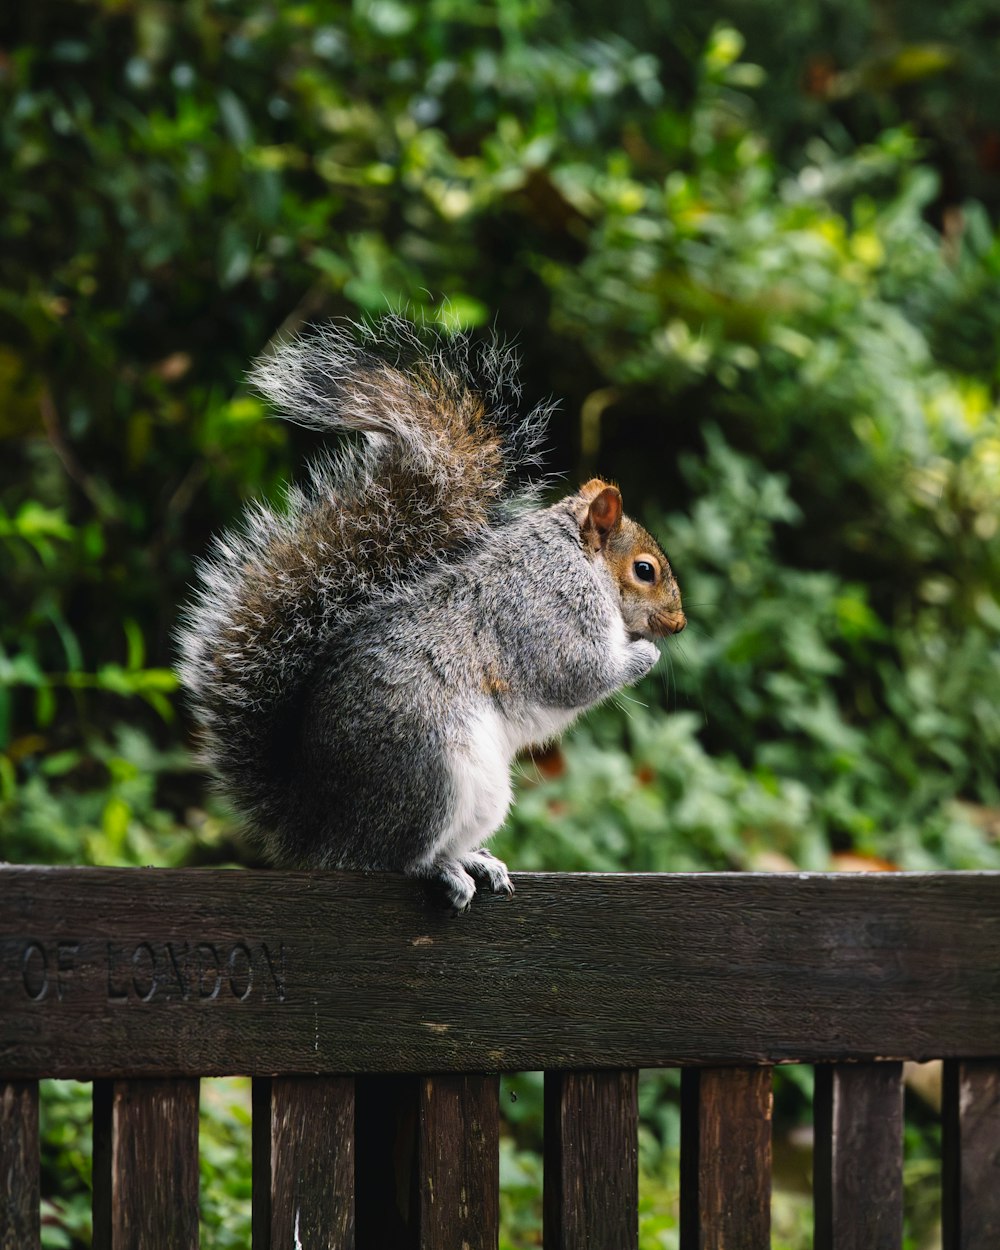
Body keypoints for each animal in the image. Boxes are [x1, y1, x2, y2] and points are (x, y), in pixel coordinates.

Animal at [173, 317, 690, 915]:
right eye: (646, 570)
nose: (678, 625)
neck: (579, 559)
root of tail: (320, 832)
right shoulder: (547, 609)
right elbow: (577, 674)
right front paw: (644, 654)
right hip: (431, 770)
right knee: (396, 857)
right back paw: (441, 870)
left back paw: (475, 861)